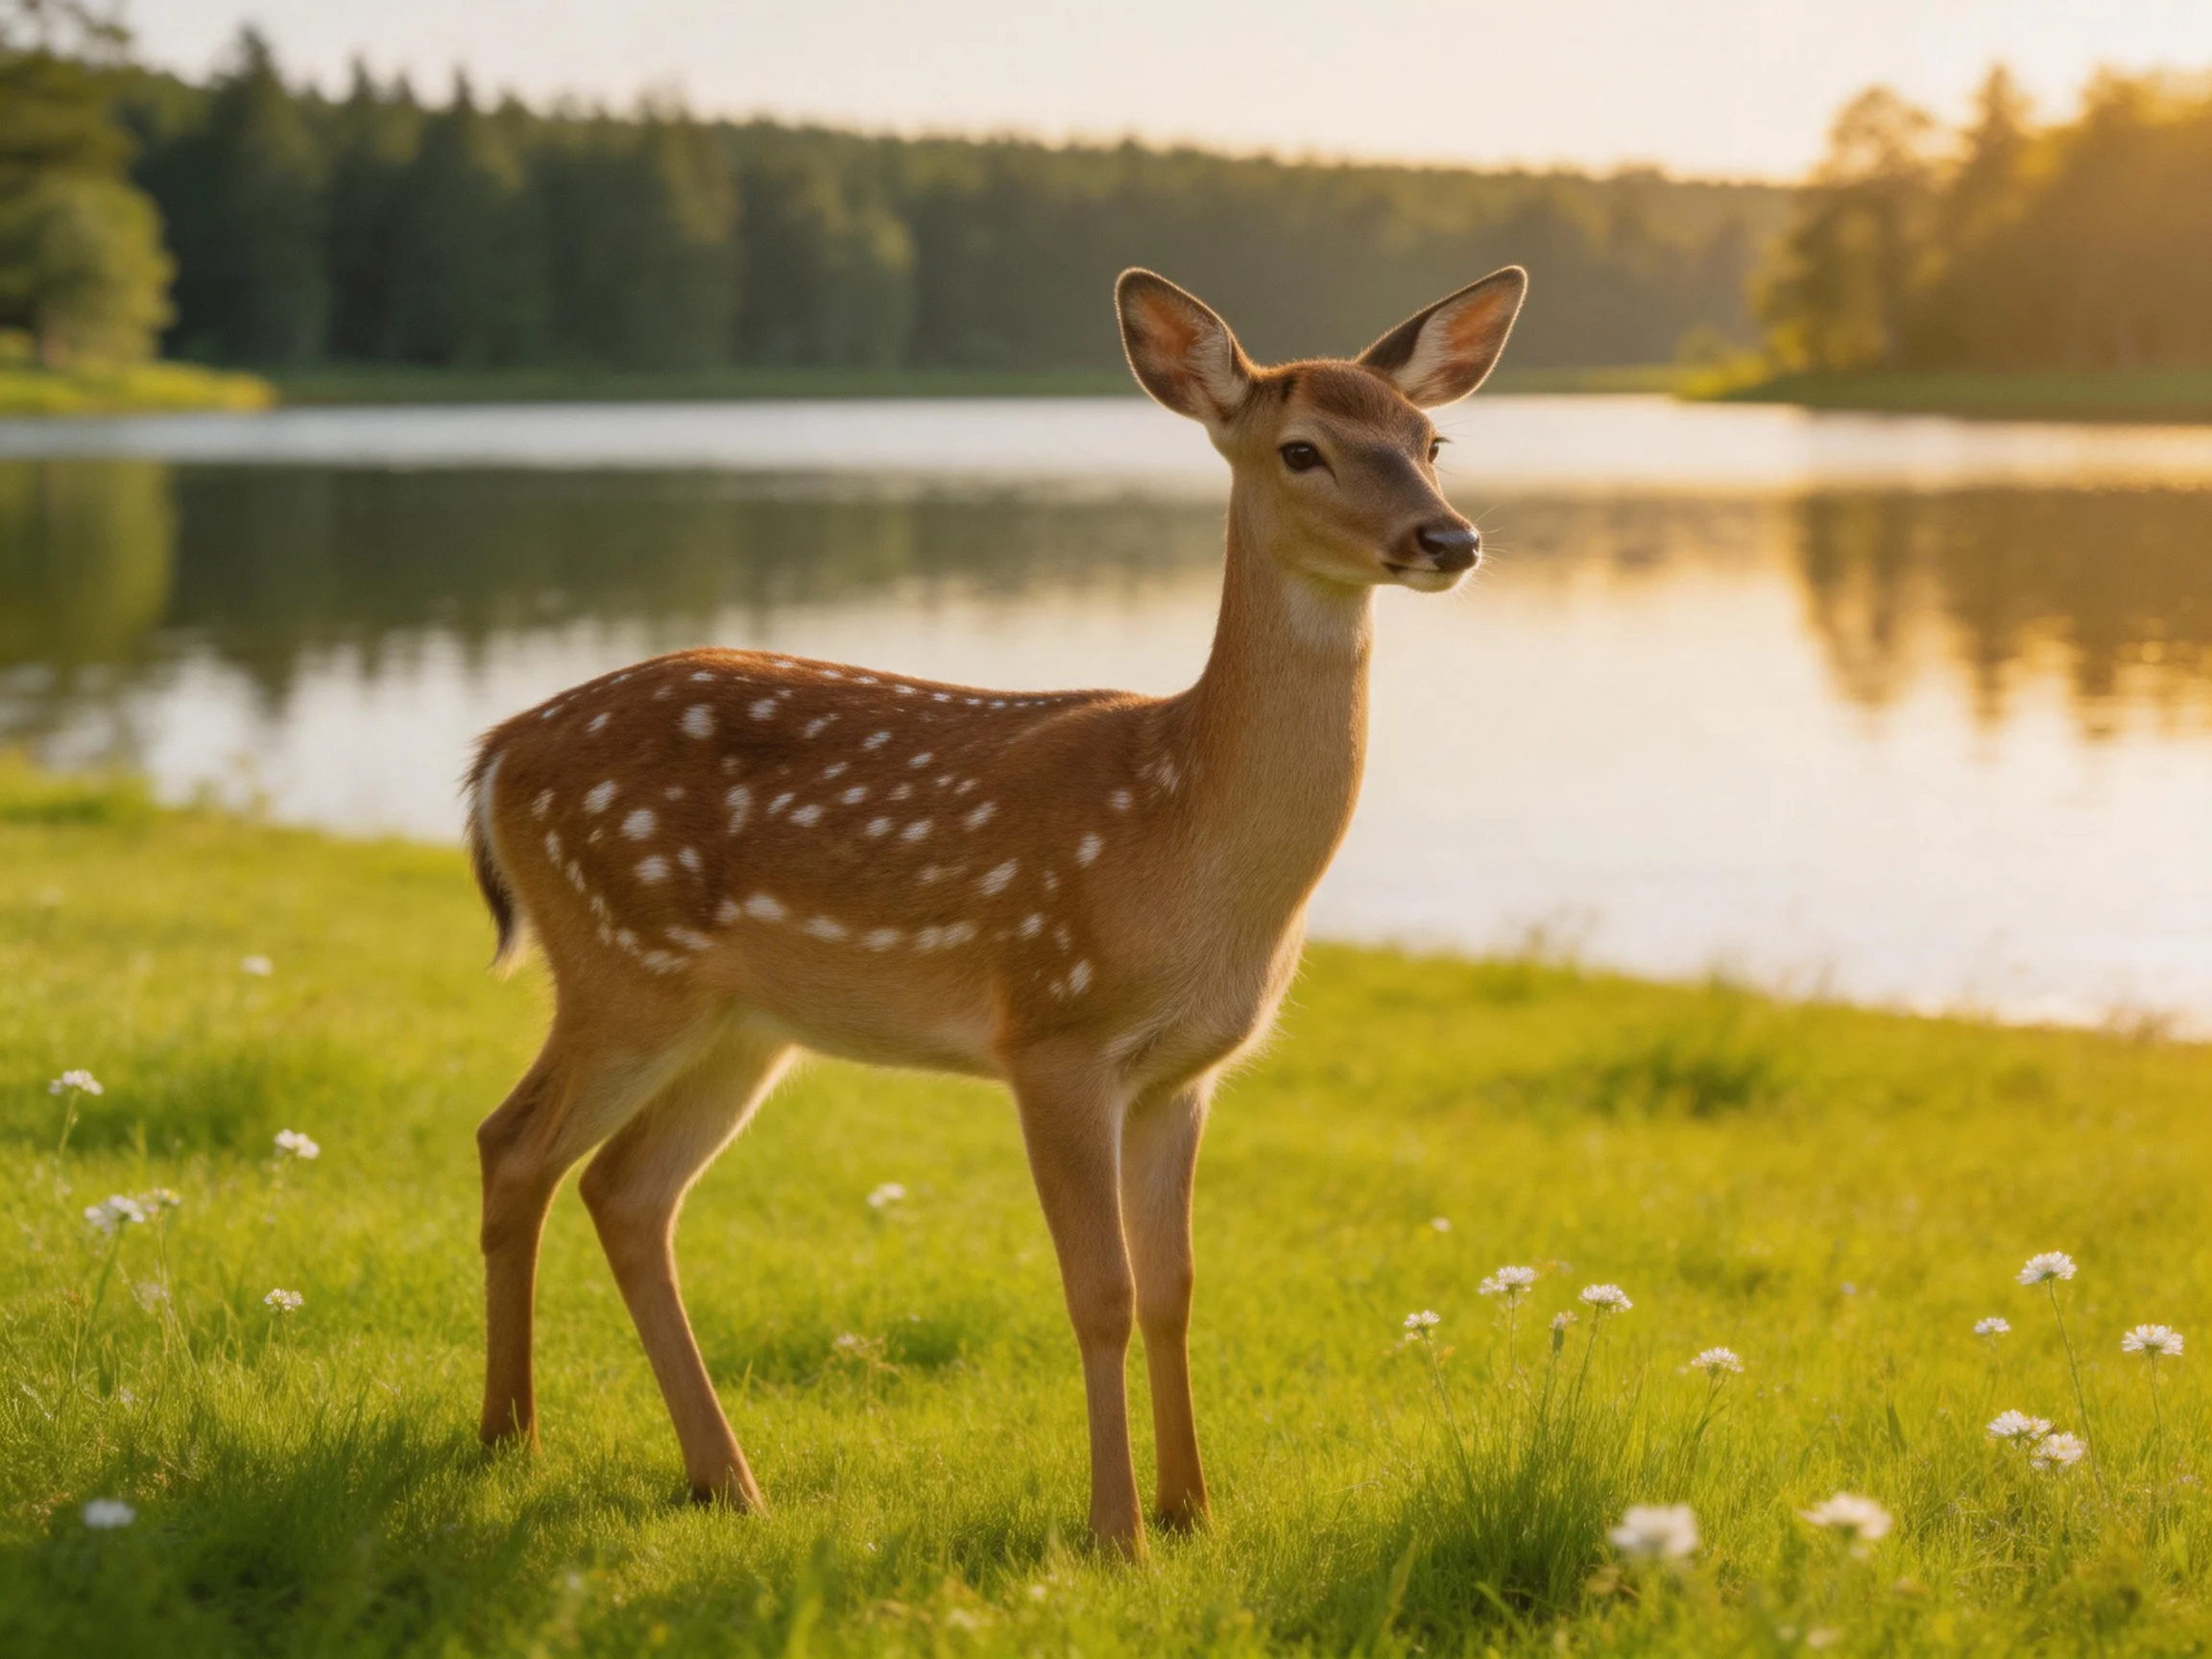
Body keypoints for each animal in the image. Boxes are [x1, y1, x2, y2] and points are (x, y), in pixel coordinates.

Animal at [462, 262, 1527, 1553]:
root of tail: (495, 756)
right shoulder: (1053, 1031)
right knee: (515, 1144)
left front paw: (1193, 1511)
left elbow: (1175, 1290)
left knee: (626, 1188)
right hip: (622, 961)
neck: (1182, 837)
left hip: (742, 1025)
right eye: (1303, 450)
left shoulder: (1184, 1073)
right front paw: (1117, 1532)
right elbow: (1100, 1291)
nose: (1448, 536)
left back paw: (725, 1478)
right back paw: (508, 1437)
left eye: (1432, 440)